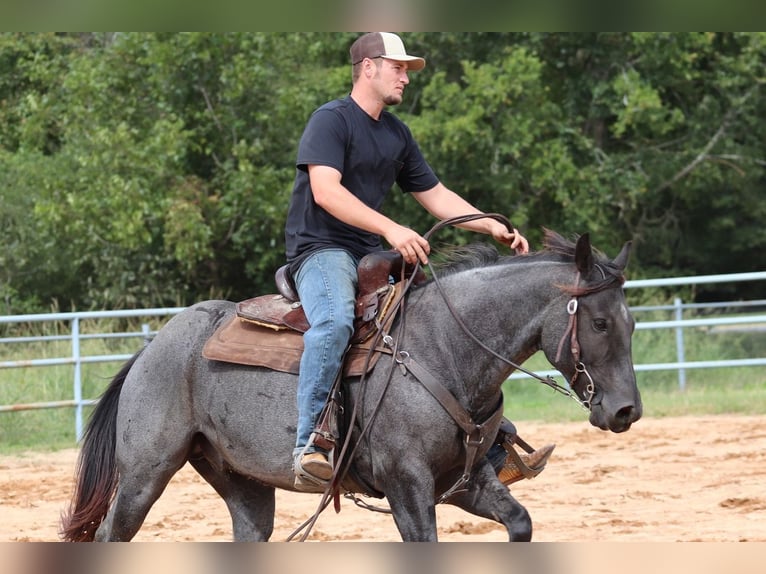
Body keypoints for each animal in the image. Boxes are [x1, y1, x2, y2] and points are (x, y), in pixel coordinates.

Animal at [63, 227, 644, 544]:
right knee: (112, 533)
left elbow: (519, 522)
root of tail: (152, 347)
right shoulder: (408, 488)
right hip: (144, 473)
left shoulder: (466, 483)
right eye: (598, 323)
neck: (442, 348)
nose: (626, 412)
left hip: (242, 482)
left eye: (633, 322)